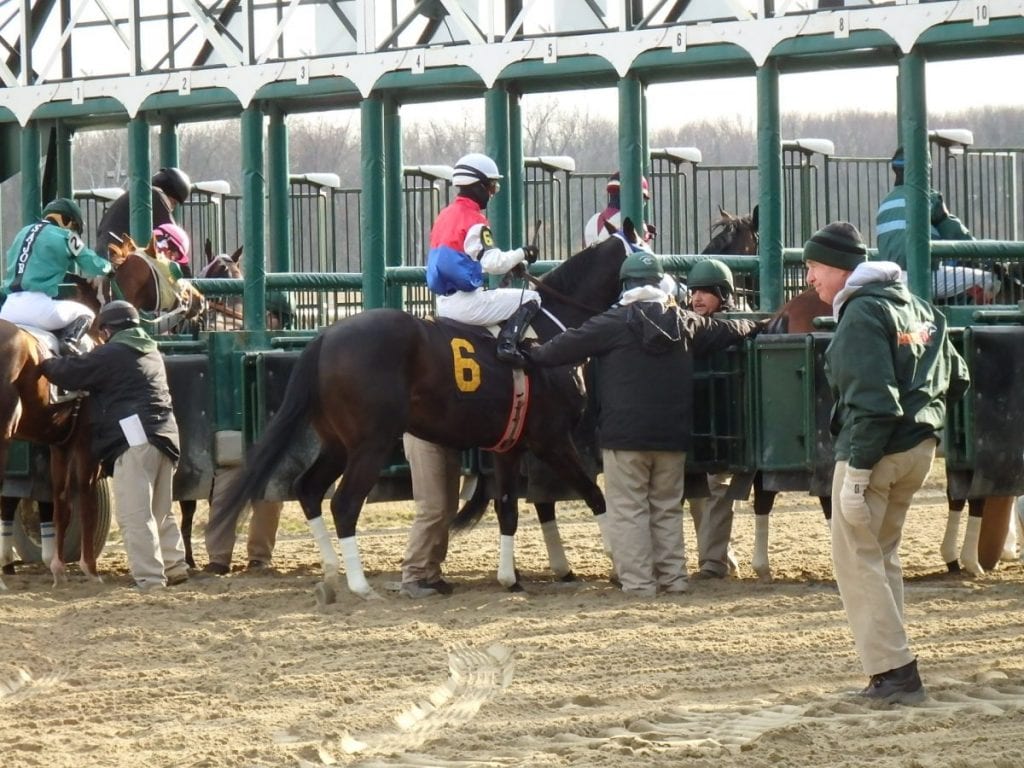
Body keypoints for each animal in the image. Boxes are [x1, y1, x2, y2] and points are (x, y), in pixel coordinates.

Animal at [204, 225, 643, 598]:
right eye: (646, 251)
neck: (551, 332)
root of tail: (326, 336)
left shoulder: (508, 446)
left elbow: (507, 507)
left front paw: (510, 578)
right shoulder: (552, 439)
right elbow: (593, 494)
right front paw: (616, 563)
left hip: (338, 443)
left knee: (308, 489)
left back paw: (332, 572)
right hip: (372, 444)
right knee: (343, 503)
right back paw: (361, 585)